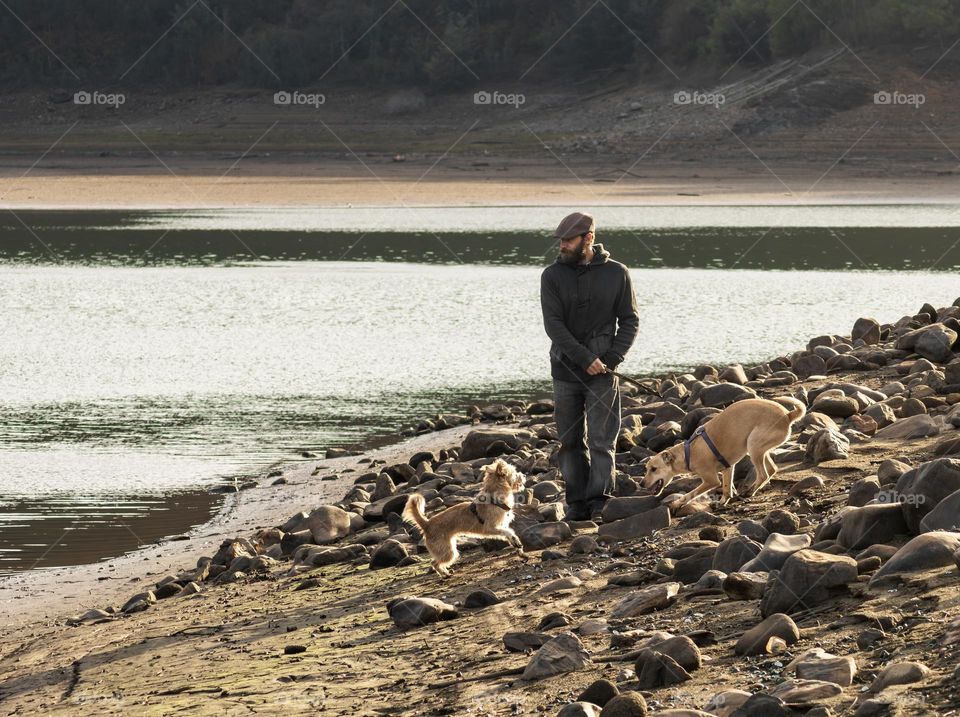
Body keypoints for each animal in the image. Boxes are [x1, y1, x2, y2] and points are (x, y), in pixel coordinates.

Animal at [640, 398, 808, 510]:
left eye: (653, 469)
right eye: (646, 469)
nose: (641, 484)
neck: (688, 452)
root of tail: (787, 415)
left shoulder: (710, 480)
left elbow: (691, 493)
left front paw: (676, 503)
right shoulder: (728, 468)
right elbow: (727, 487)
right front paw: (723, 501)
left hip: (753, 445)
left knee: (763, 474)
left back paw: (749, 492)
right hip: (759, 449)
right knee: (772, 469)